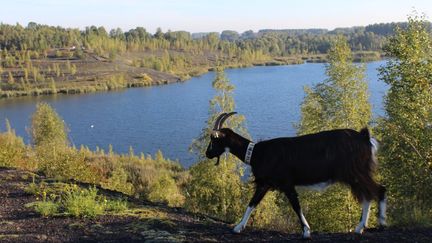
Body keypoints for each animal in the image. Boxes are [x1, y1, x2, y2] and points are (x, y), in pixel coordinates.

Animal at [206, 112, 388, 239]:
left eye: (214, 139)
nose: (207, 154)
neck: (257, 153)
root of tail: (365, 137)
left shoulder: (286, 183)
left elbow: (296, 206)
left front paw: (306, 231)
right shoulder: (265, 184)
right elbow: (252, 203)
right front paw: (238, 227)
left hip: (355, 172)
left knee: (379, 190)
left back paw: (381, 222)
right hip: (355, 175)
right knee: (367, 196)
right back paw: (360, 228)